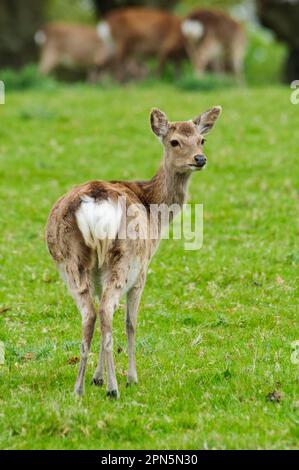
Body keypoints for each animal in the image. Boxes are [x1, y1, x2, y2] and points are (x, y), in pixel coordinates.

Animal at [45, 105, 223, 396]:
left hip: (71, 262)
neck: (154, 209)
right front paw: (130, 377)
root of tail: (95, 202)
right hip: (126, 258)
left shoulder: (98, 275)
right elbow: (130, 322)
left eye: (202, 139)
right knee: (106, 309)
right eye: (174, 141)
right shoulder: (143, 270)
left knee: (91, 313)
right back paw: (115, 388)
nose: (200, 159)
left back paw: (79, 388)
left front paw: (97, 377)